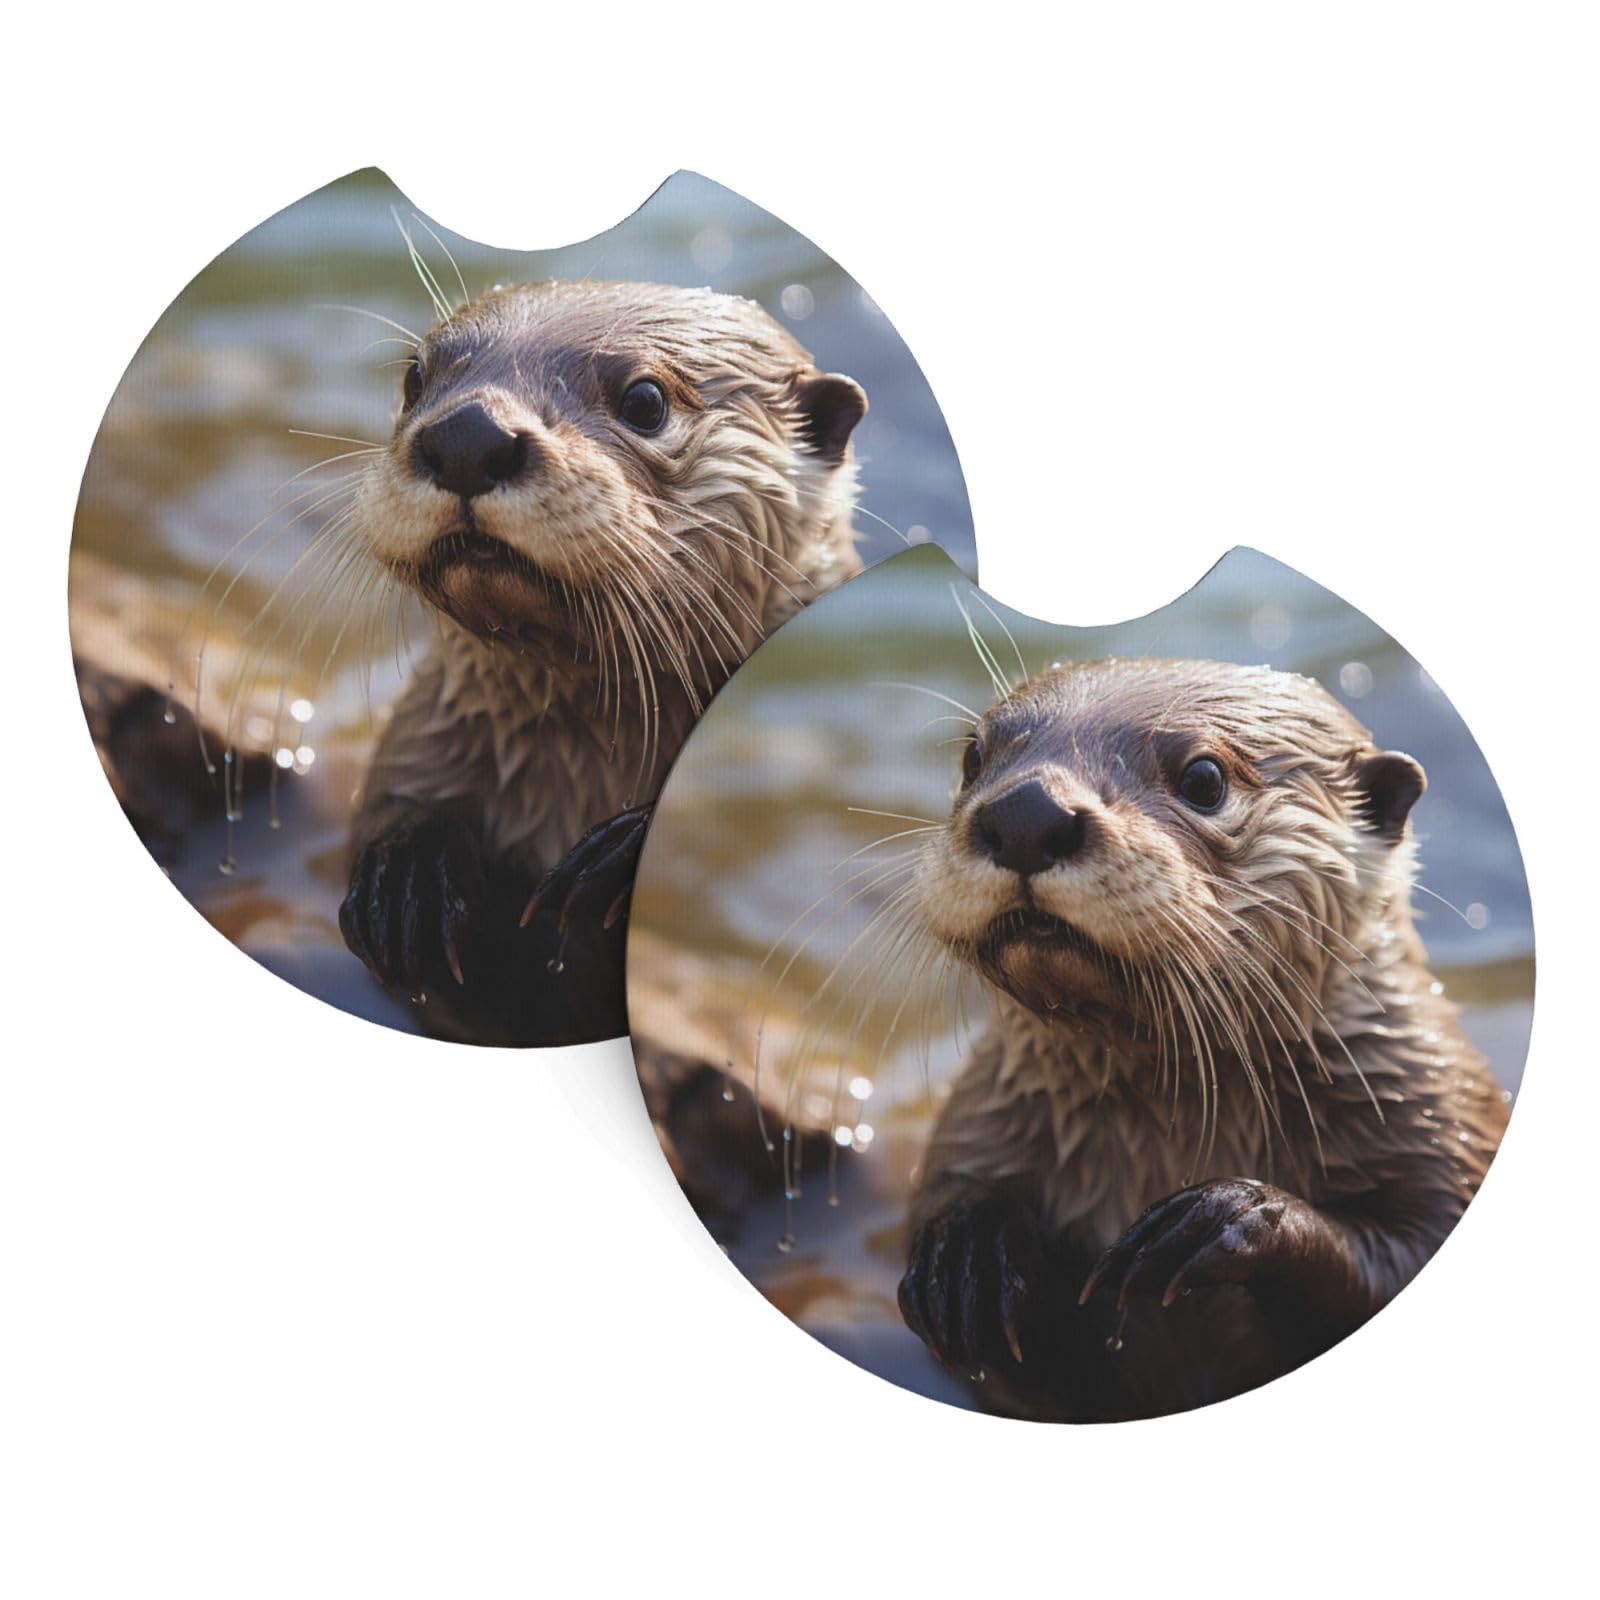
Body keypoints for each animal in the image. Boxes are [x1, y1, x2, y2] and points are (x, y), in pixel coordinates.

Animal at [895, 657, 1509, 1421]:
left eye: (1205, 779)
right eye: (974, 755)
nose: (1025, 814)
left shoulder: (1442, 1129)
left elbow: (1398, 1256)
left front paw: (1230, 1216)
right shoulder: (976, 1118)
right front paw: (965, 1251)